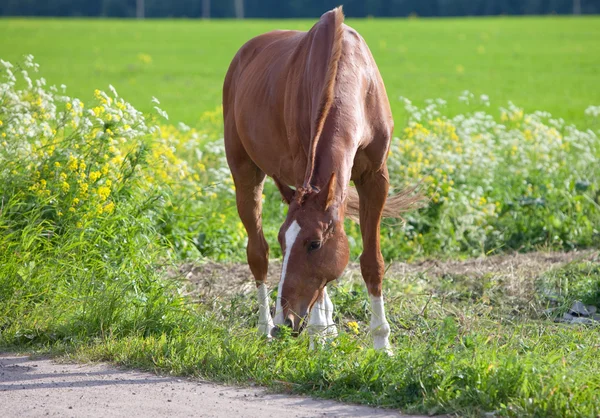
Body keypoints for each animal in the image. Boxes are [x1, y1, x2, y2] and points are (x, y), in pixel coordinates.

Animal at [223, 7, 414, 352]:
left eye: (314, 243)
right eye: (283, 243)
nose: (284, 322)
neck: (351, 77)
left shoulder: (375, 178)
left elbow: (372, 262)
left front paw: (382, 344)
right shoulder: (306, 172)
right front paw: (318, 334)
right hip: (245, 176)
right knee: (257, 253)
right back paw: (269, 327)